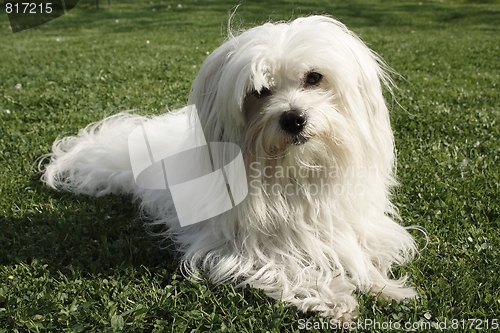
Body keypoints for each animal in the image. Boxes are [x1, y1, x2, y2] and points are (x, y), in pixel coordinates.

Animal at [42, 14, 418, 320]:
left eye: (314, 77)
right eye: (259, 91)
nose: (293, 119)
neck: (293, 173)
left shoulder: (350, 225)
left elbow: (358, 253)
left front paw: (385, 285)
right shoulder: (241, 249)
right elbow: (289, 268)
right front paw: (333, 297)